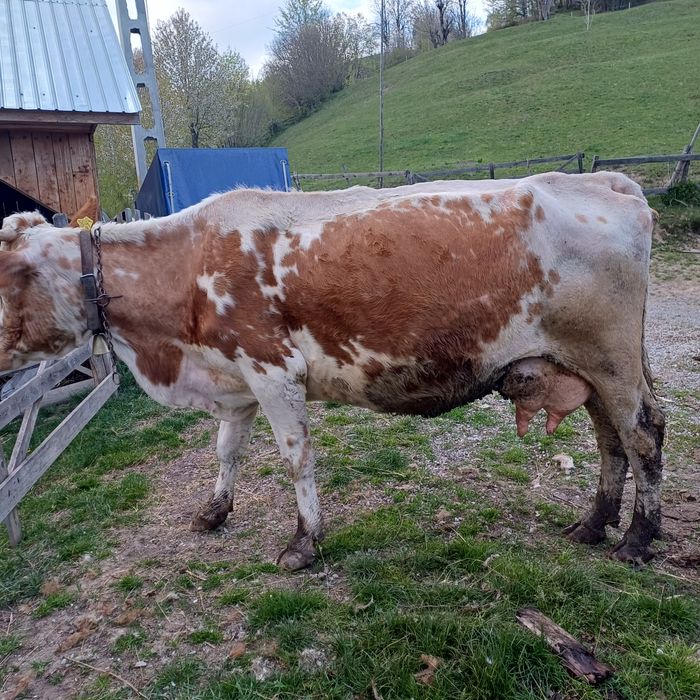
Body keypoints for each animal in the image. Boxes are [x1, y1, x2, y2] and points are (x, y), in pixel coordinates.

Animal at [0, 171, 664, 569]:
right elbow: (225, 450)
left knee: (643, 435)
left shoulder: (273, 371)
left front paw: (303, 543)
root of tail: (602, 179)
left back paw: (637, 538)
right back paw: (593, 525)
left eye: (9, 276)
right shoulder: (237, 382)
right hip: (586, 368)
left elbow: (297, 457)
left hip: (611, 359)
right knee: (610, 441)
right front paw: (214, 513)